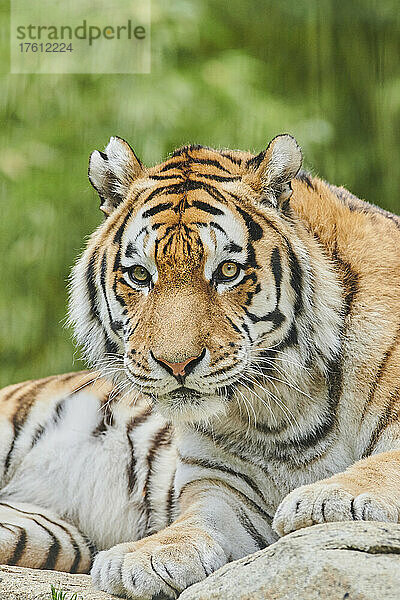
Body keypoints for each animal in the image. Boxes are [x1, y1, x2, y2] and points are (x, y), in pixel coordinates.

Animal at [0, 132, 400, 600]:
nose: (177, 364)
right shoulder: (222, 486)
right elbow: (196, 521)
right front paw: (145, 557)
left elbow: (386, 462)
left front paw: (329, 498)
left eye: (227, 271)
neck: (284, 405)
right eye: (139, 275)